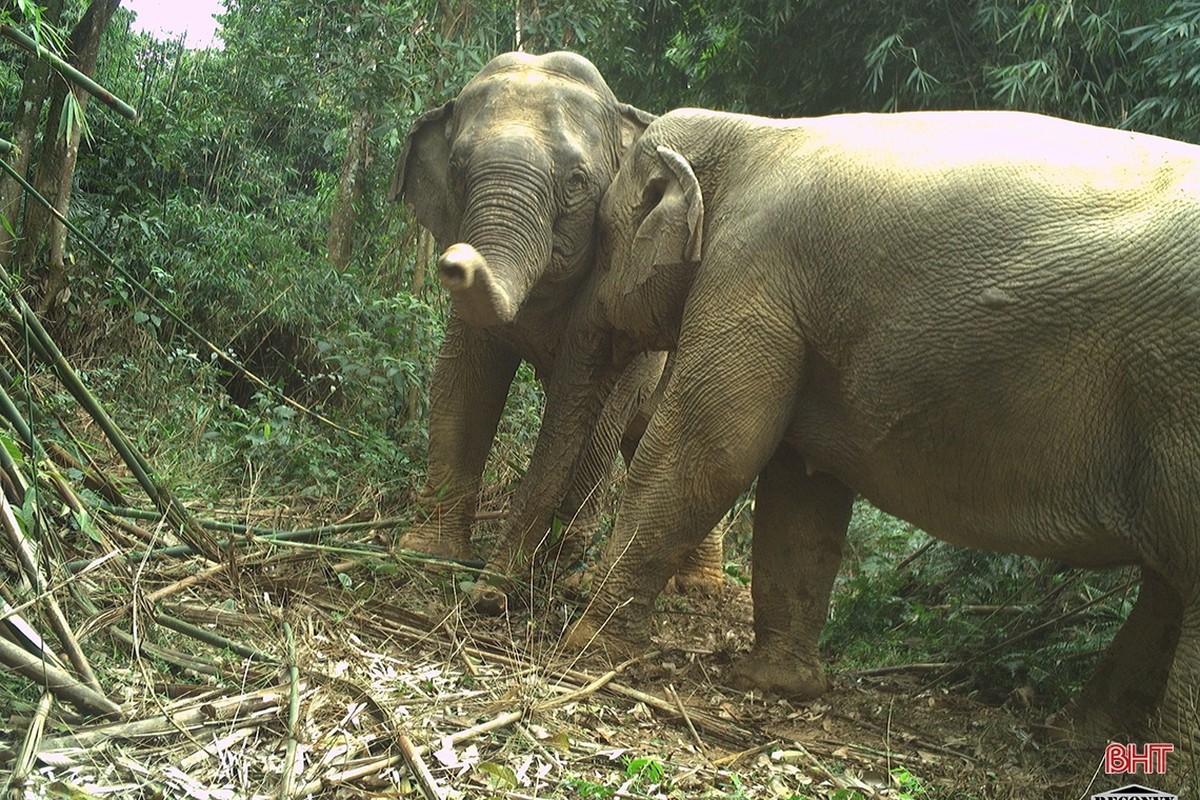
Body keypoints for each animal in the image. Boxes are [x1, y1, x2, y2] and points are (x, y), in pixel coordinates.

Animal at [388, 53, 720, 609]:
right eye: (456, 170)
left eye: (577, 182)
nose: (454, 262)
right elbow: (463, 380)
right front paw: (425, 554)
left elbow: (597, 415)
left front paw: (554, 573)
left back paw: (681, 586)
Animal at [504, 107, 1200, 753]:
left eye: (601, 243)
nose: (498, 596)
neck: (748, 131)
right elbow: (800, 489)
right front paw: (775, 685)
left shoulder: (750, 275)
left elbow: (706, 449)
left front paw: (583, 646)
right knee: (1169, 585)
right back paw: (1077, 737)